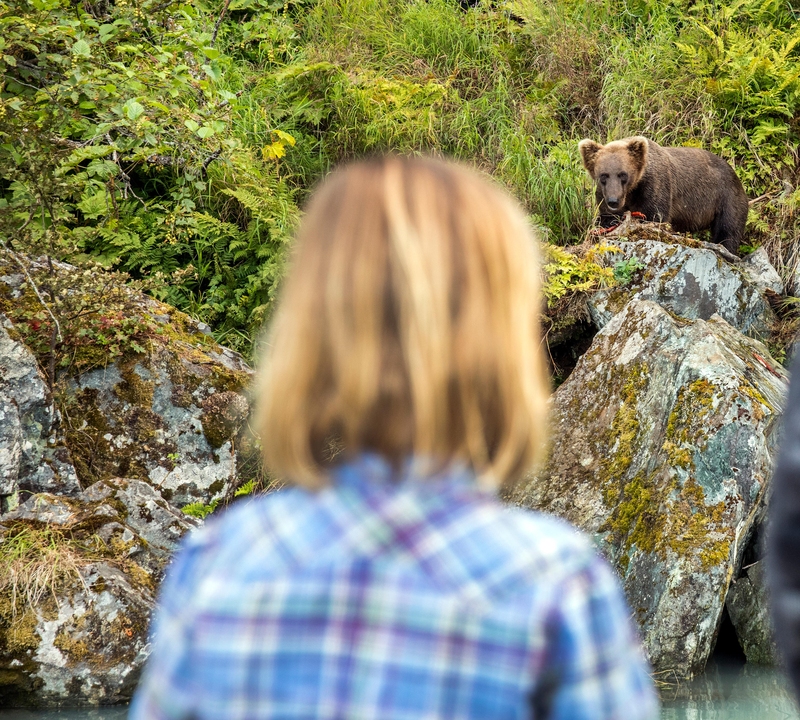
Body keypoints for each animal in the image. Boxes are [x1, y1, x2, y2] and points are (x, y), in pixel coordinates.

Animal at [580, 136, 748, 255]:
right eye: (603, 176)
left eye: (623, 175)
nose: (614, 201)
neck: (633, 191)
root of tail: (734, 171)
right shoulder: (603, 195)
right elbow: (606, 218)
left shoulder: (656, 186)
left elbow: (655, 216)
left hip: (725, 197)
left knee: (728, 229)